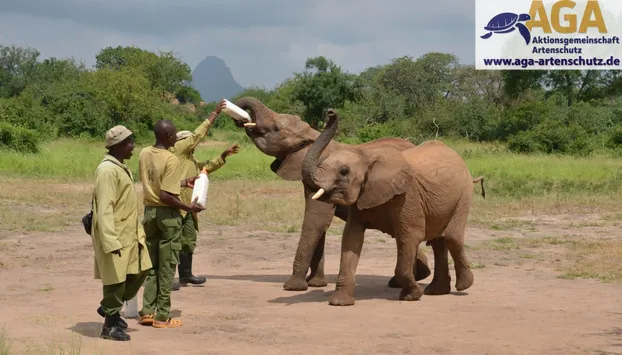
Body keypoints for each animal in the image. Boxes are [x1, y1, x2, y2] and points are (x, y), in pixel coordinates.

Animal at [229, 96, 434, 292]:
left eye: (275, 128)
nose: (241, 119)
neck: (312, 137)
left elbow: (315, 221)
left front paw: (293, 287)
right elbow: (320, 224)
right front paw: (316, 284)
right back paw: (414, 277)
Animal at [300, 108, 486, 306]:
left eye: (344, 172)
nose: (330, 112)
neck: (367, 156)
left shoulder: (407, 197)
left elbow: (411, 236)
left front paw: (411, 296)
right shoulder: (363, 197)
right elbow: (351, 238)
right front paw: (340, 302)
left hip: (464, 194)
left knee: (452, 238)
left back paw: (463, 286)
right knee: (438, 241)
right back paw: (436, 291)